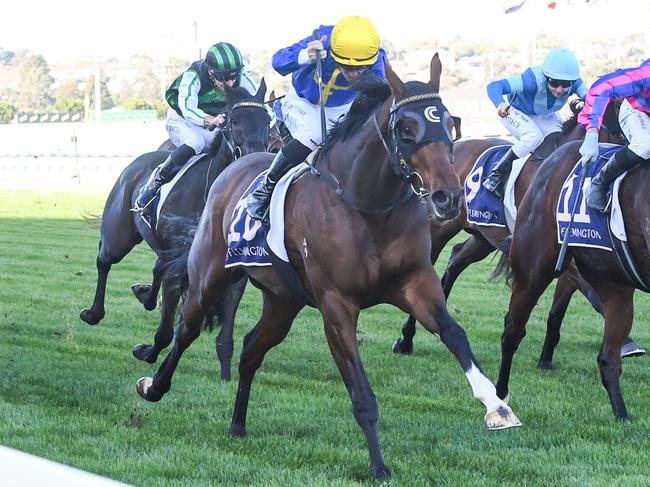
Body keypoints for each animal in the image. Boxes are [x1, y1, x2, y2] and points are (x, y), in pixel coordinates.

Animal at [79, 82, 270, 380]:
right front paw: (148, 352)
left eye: (268, 121)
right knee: (104, 259)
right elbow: (167, 331)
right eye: (234, 120)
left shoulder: (230, 272)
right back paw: (93, 313)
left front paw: (226, 372)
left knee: (157, 267)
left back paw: (144, 294)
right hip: (118, 236)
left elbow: (225, 332)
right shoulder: (181, 268)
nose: (255, 160)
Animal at [134, 56, 520, 480]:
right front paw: (379, 467)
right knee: (186, 330)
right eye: (406, 129)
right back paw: (153, 384)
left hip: (283, 300)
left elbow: (455, 334)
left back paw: (237, 424)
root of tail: (232, 169)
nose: (448, 197)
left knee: (252, 348)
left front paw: (497, 405)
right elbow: (361, 392)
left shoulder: (416, 283)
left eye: (449, 124)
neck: (368, 206)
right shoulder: (337, 305)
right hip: (211, 275)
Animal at [390, 100, 632, 366]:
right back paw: (407, 339)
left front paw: (545, 358)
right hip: (440, 229)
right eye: (623, 133)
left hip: (483, 237)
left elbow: (559, 309)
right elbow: (594, 296)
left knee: (456, 258)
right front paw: (628, 344)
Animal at [494, 141, 644, 420]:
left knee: (608, 357)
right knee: (512, 331)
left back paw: (622, 414)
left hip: (613, 283)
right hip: (532, 272)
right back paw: (499, 399)